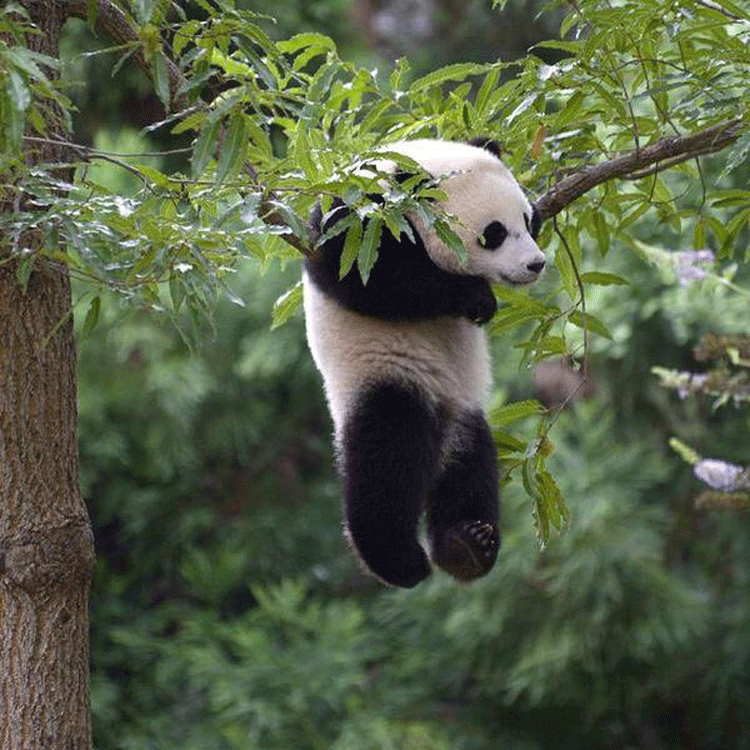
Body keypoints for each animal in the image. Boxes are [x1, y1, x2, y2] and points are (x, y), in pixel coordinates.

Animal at [303, 138, 545, 588]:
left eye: (527, 218)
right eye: (494, 234)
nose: (536, 264)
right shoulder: (355, 221)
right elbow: (374, 279)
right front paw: (475, 297)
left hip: (464, 409)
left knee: (469, 466)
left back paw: (466, 545)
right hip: (384, 374)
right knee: (387, 460)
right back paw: (399, 561)